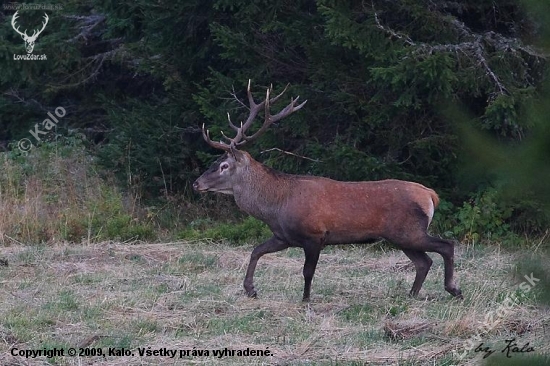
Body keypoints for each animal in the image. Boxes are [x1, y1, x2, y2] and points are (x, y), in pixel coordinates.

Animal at [194, 81, 466, 302]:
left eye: (223, 165)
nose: (196, 183)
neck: (275, 206)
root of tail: (430, 195)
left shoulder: (314, 235)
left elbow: (307, 271)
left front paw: (305, 300)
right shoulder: (284, 236)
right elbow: (256, 250)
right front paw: (250, 289)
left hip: (409, 231)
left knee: (445, 245)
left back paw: (453, 289)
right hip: (402, 236)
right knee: (424, 261)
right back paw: (411, 294)